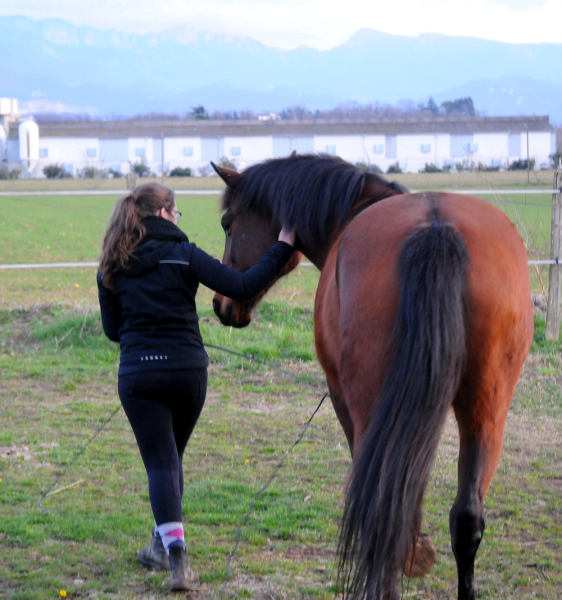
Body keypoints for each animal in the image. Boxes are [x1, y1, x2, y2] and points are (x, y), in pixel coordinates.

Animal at [209, 155, 528, 600]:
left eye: (227, 223)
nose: (221, 305)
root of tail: (435, 227)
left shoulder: (342, 402)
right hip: (487, 410)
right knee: (466, 518)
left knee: (380, 512)